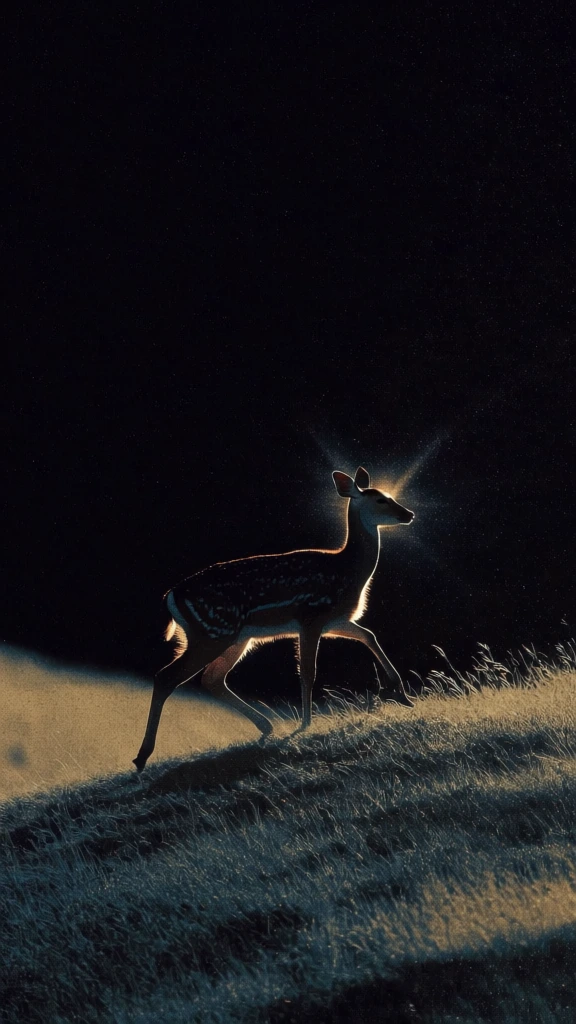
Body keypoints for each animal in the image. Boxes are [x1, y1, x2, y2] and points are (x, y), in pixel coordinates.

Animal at [133, 466, 415, 771]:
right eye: (381, 500)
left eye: (390, 496)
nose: (409, 514)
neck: (349, 571)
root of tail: (171, 596)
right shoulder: (312, 615)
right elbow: (308, 671)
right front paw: (306, 724)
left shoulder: (334, 619)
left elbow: (368, 635)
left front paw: (401, 694)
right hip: (213, 632)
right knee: (167, 677)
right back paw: (142, 756)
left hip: (232, 637)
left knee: (211, 678)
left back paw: (265, 727)